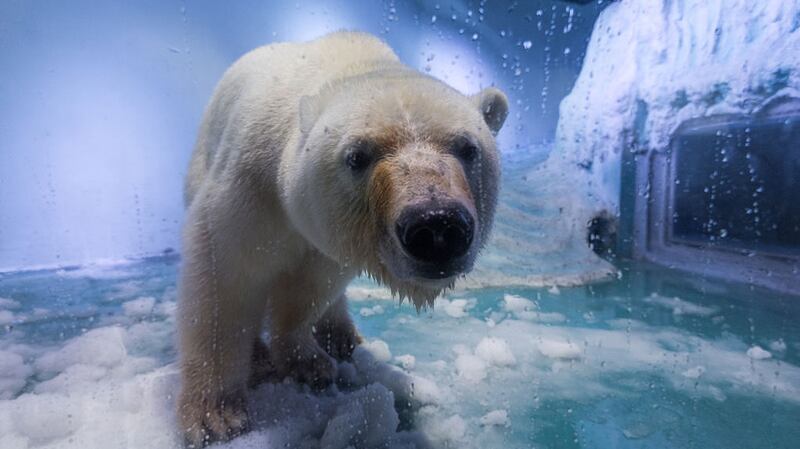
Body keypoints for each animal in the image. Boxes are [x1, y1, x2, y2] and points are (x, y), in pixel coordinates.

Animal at [177, 31, 508, 446]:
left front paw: (307, 361)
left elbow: (311, 283)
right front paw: (216, 416)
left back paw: (342, 336)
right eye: (357, 156)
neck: (350, 61)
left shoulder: (328, 236)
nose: (436, 226)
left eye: (467, 147)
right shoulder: (253, 183)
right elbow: (228, 276)